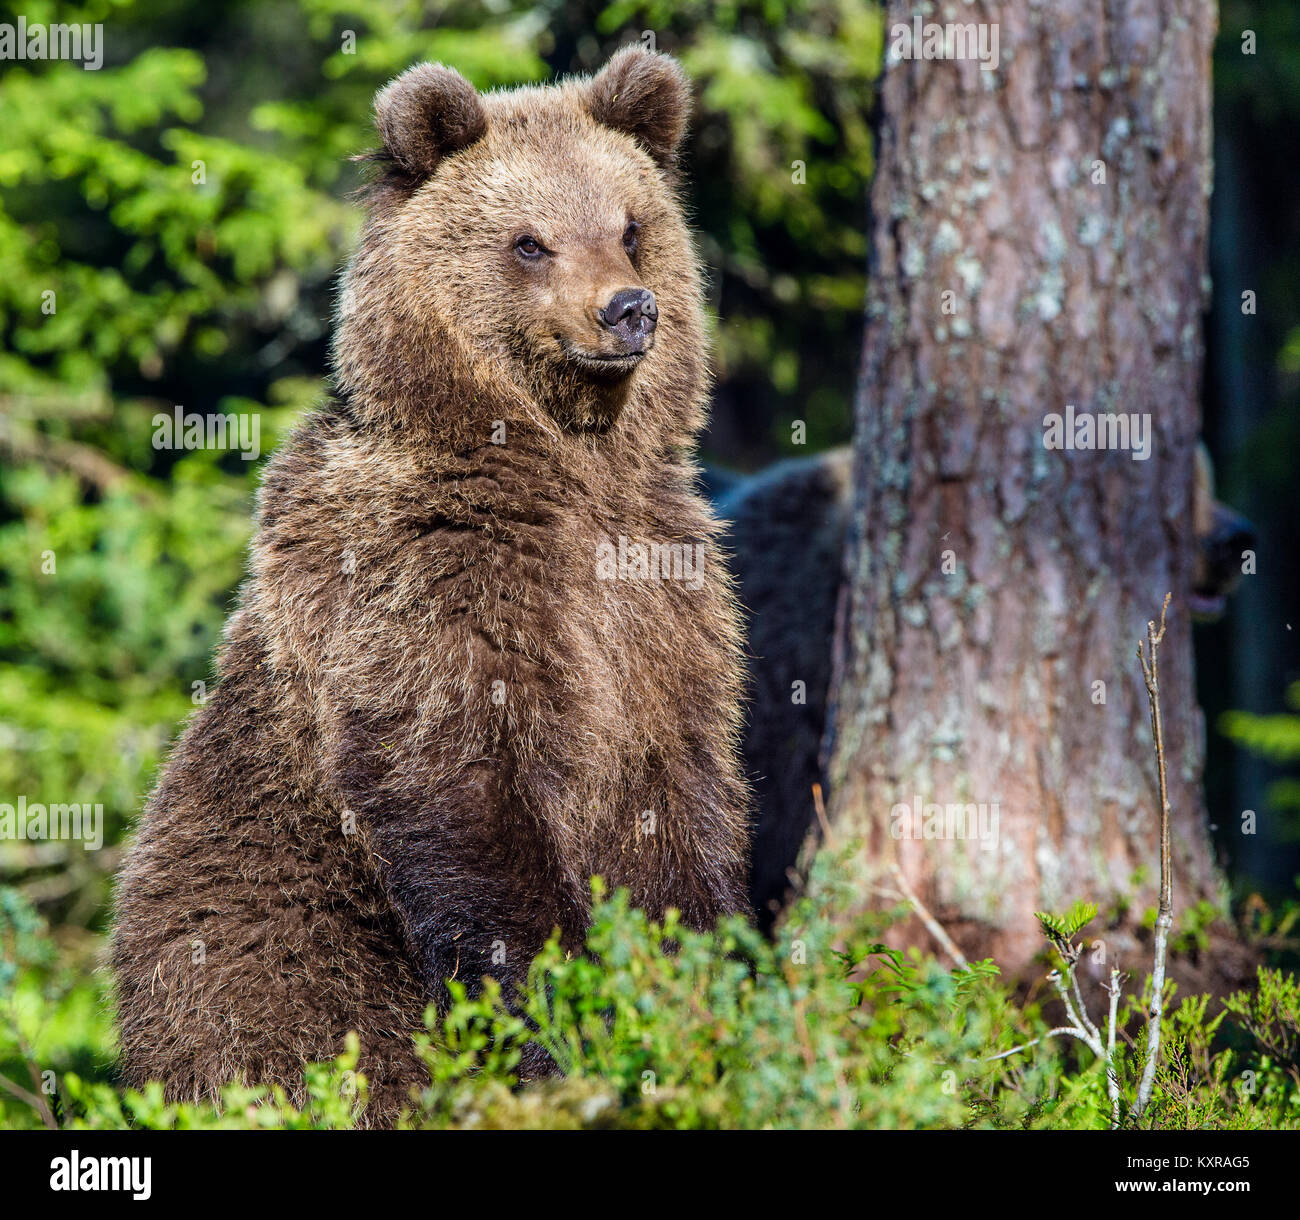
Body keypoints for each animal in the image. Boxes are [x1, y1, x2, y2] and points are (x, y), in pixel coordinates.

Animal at [111, 46, 751, 1124]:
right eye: (529, 241)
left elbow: (680, 801)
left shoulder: (663, 602)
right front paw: (558, 1016)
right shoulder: (425, 584)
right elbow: (466, 793)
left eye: (630, 224)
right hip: (269, 938)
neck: (564, 467)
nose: (628, 310)